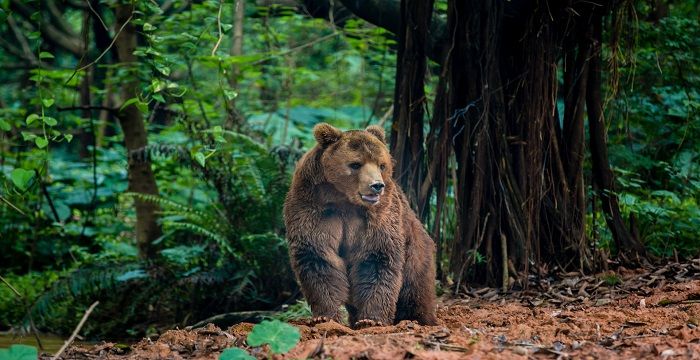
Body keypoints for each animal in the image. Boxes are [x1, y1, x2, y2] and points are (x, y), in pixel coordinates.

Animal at [282, 122, 434, 328]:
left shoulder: (379, 214)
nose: (376, 185)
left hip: (416, 251)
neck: (343, 198)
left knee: (415, 290)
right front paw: (325, 316)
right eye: (355, 164)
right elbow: (318, 257)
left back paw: (417, 318)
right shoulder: (312, 206)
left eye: (381, 164)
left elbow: (377, 258)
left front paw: (372, 319)